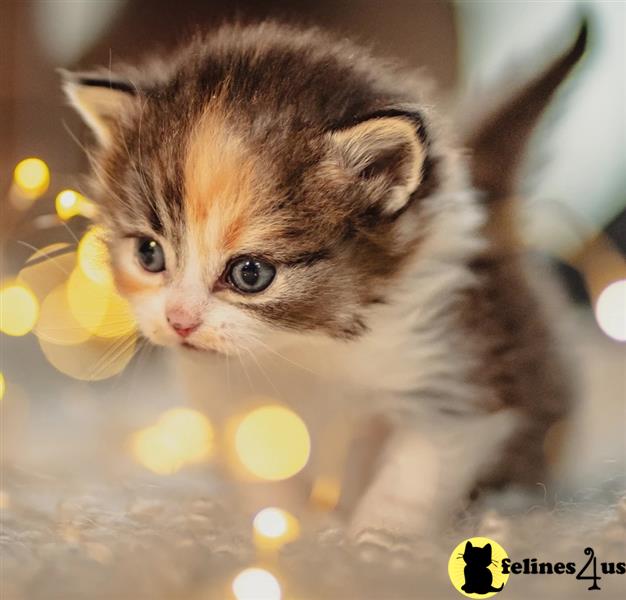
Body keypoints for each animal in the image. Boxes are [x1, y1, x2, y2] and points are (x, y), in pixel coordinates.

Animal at [63, 21, 584, 540]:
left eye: (250, 274)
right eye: (149, 254)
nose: (179, 320)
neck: (303, 348)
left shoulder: (457, 371)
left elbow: (414, 476)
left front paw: (374, 544)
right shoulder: (231, 400)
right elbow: (264, 476)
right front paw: (291, 536)